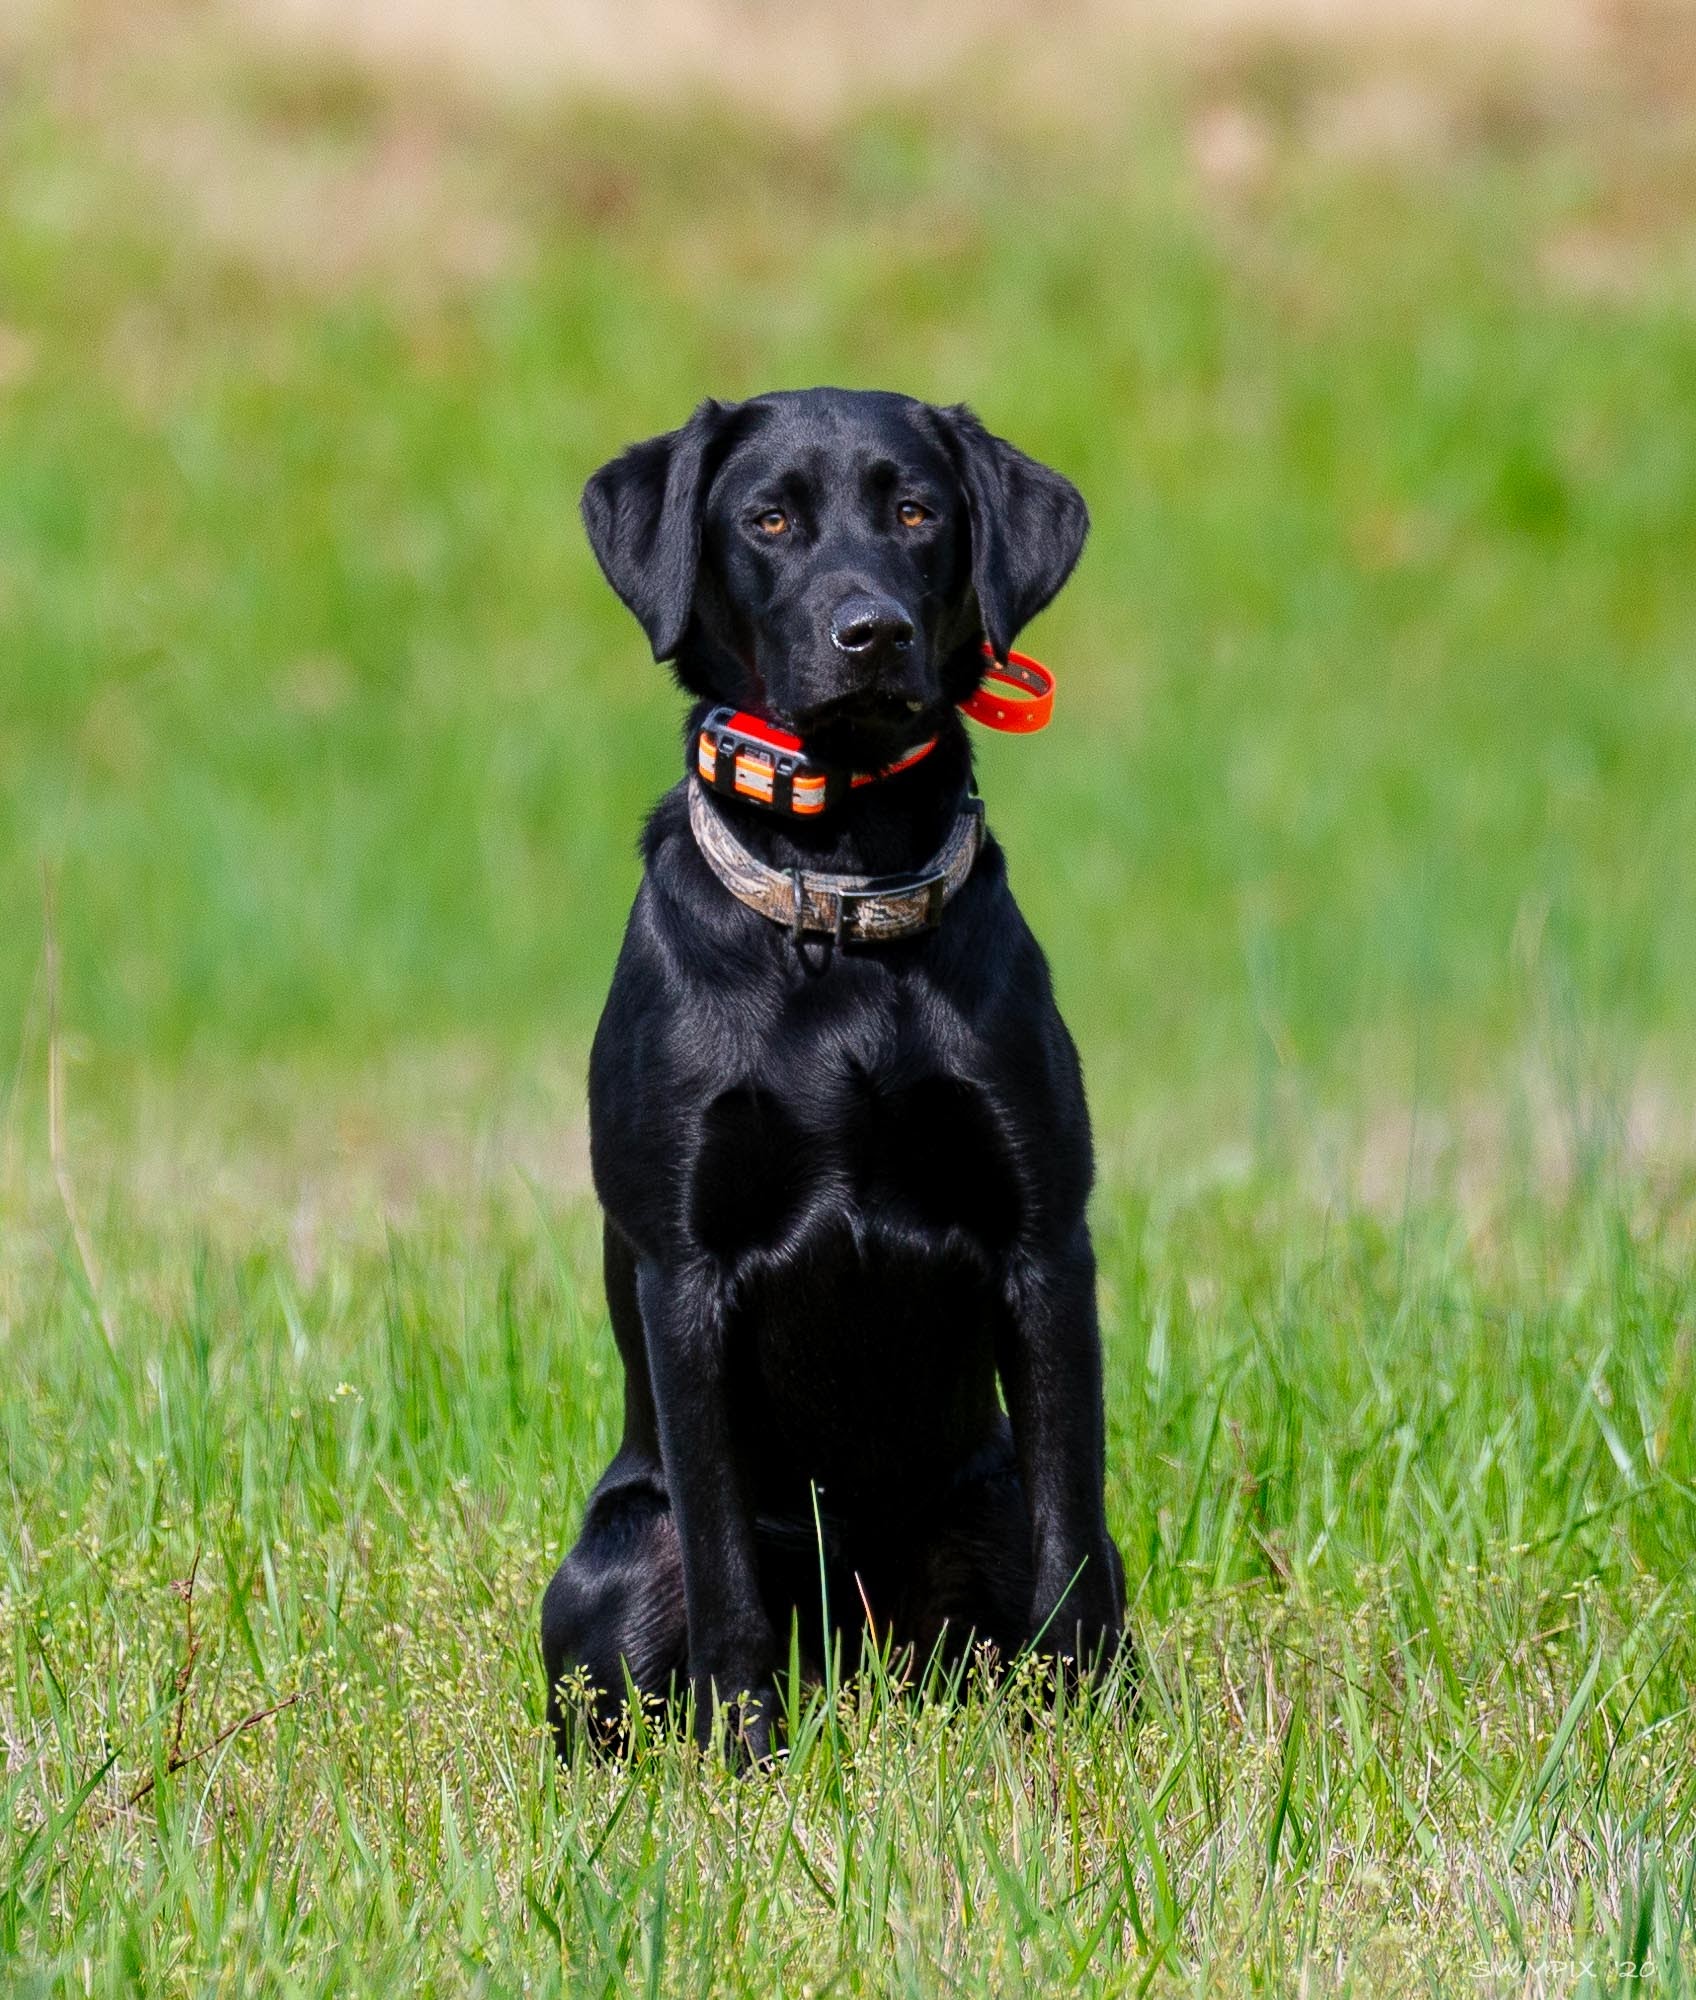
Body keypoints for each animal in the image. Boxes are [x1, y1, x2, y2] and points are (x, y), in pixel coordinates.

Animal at [544, 382, 1128, 1760]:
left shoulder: (1045, 1243)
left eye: (916, 511)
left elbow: (1069, 1533)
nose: (872, 632)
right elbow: (722, 1569)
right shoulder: (685, 1270)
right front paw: (745, 1755)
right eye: (768, 518)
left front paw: (1091, 1741)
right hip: (609, 1560)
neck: (841, 888)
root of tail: (855, 1652)